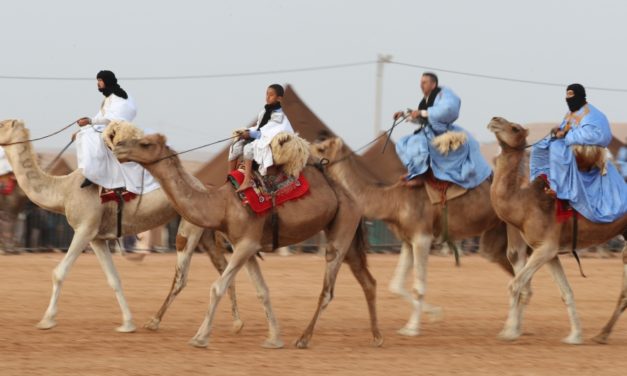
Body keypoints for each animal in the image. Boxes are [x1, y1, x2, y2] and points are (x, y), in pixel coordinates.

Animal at [0, 119, 243, 334]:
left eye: (2, 124)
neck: (63, 190)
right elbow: (114, 279)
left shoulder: (84, 228)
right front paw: (127, 324)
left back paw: (154, 322)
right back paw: (236, 323)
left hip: (189, 228)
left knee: (181, 277)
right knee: (224, 270)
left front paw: (47, 320)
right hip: (205, 232)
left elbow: (59, 272)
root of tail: (206, 188)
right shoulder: (97, 238)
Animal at [115, 133, 386, 350]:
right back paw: (377, 337)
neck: (222, 205)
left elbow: (217, 287)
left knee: (328, 290)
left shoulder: (246, 244)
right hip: (347, 237)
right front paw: (274, 339)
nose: (117, 146)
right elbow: (262, 291)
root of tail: (352, 198)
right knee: (368, 282)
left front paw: (200, 338)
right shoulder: (245, 246)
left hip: (341, 234)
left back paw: (304, 339)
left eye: (145, 143)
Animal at [312, 137, 516, 336]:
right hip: (496, 234)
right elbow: (396, 285)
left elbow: (418, 287)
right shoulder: (408, 240)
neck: (392, 201)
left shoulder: (422, 237)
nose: (308, 153)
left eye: (322, 148)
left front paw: (411, 328)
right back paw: (513, 326)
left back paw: (511, 329)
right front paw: (435, 314)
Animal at [490, 117, 627, 344]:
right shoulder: (549, 251)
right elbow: (566, 292)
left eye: (514, 128)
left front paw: (508, 332)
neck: (523, 201)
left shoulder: (546, 247)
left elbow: (515, 285)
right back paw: (601, 335)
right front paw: (575, 335)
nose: (494, 120)